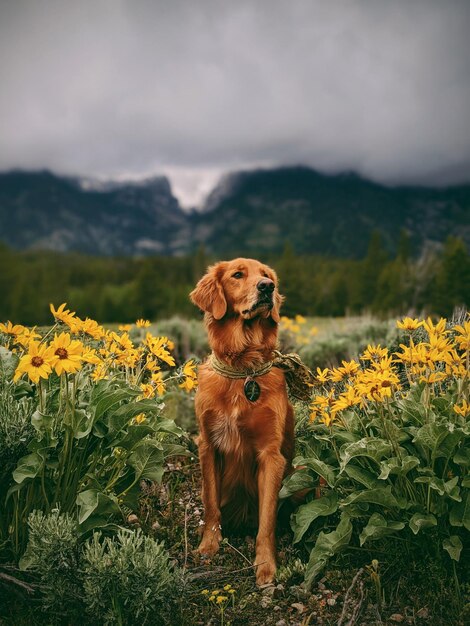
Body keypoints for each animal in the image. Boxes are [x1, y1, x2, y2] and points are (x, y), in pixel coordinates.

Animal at [190, 256, 294, 584]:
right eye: (238, 275)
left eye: (266, 275)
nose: (267, 288)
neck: (243, 369)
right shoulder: (208, 445)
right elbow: (211, 505)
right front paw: (208, 546)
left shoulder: (271, 455)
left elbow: (267, 521)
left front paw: (266, 566)